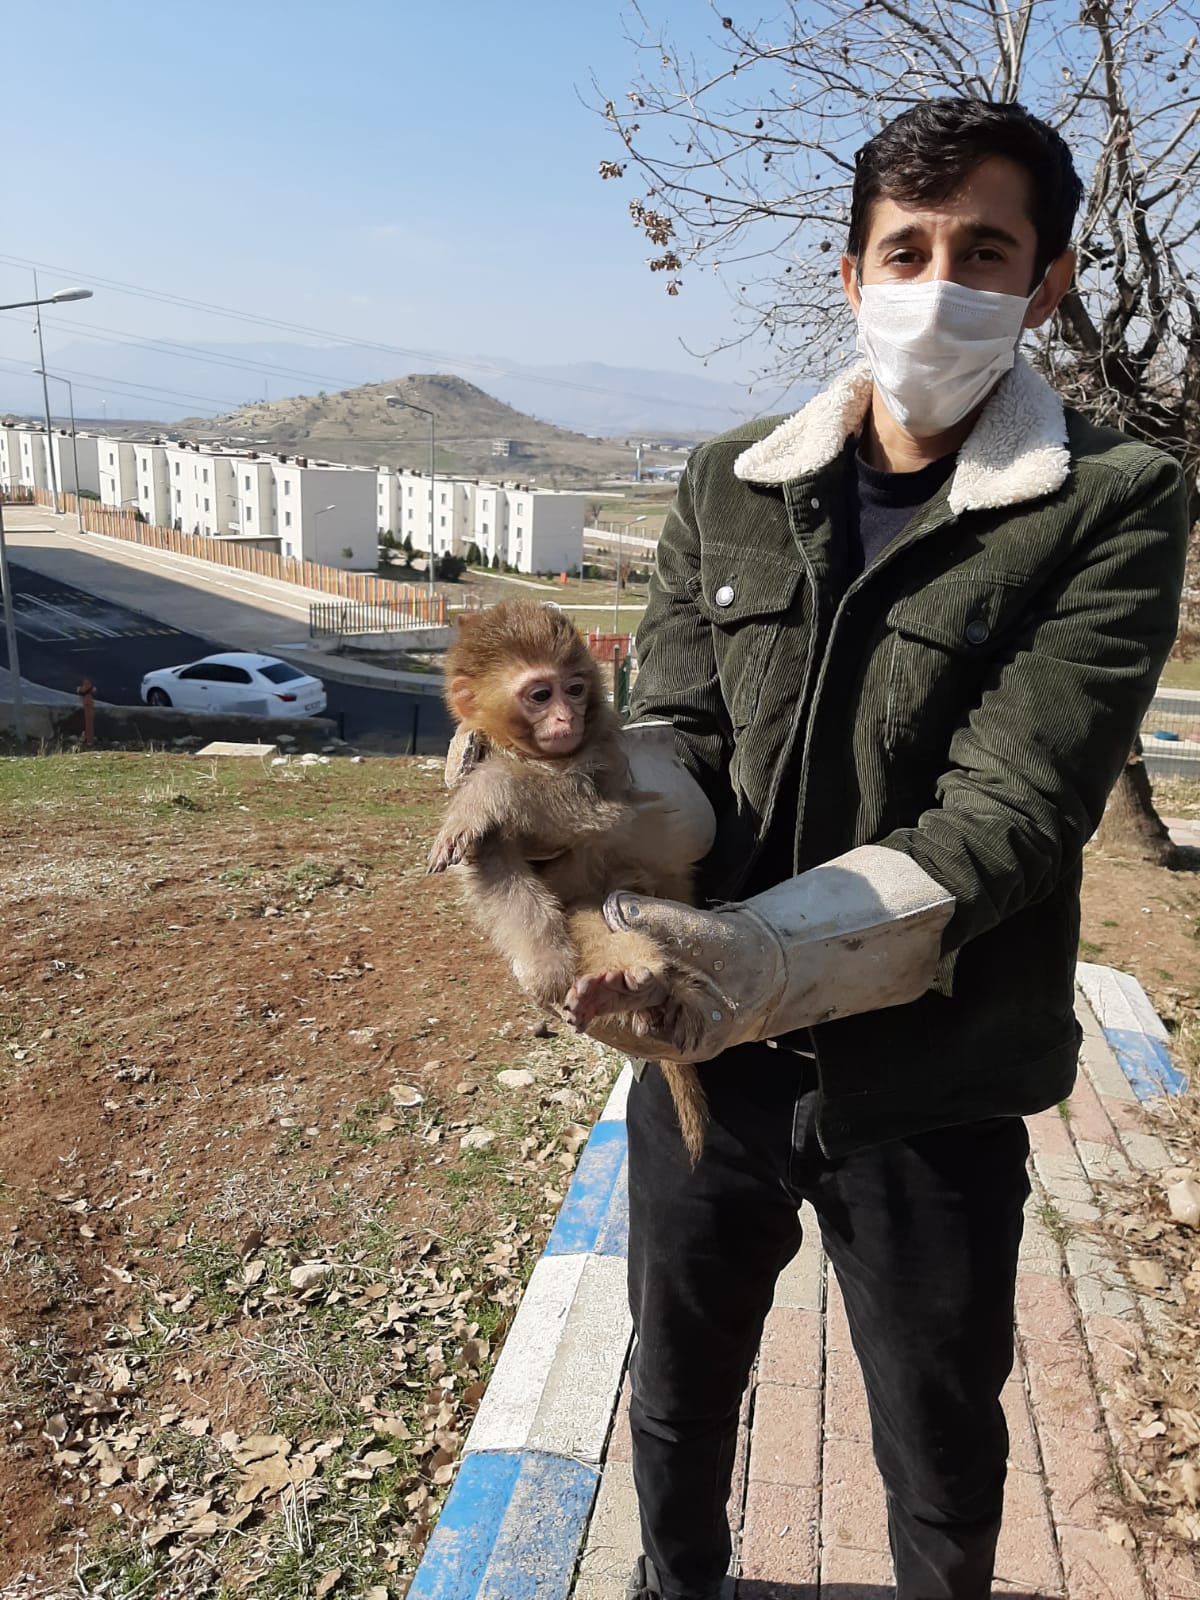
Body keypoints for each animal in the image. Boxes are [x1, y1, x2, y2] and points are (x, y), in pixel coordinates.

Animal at [428, 601, 713, 1164]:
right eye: (541, 695)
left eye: (575, 688)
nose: (567, 718)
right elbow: (495, 867)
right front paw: (546, 966)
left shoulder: (602, 757)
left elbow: (592, 811)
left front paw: (481, 794)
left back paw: (637, 986)